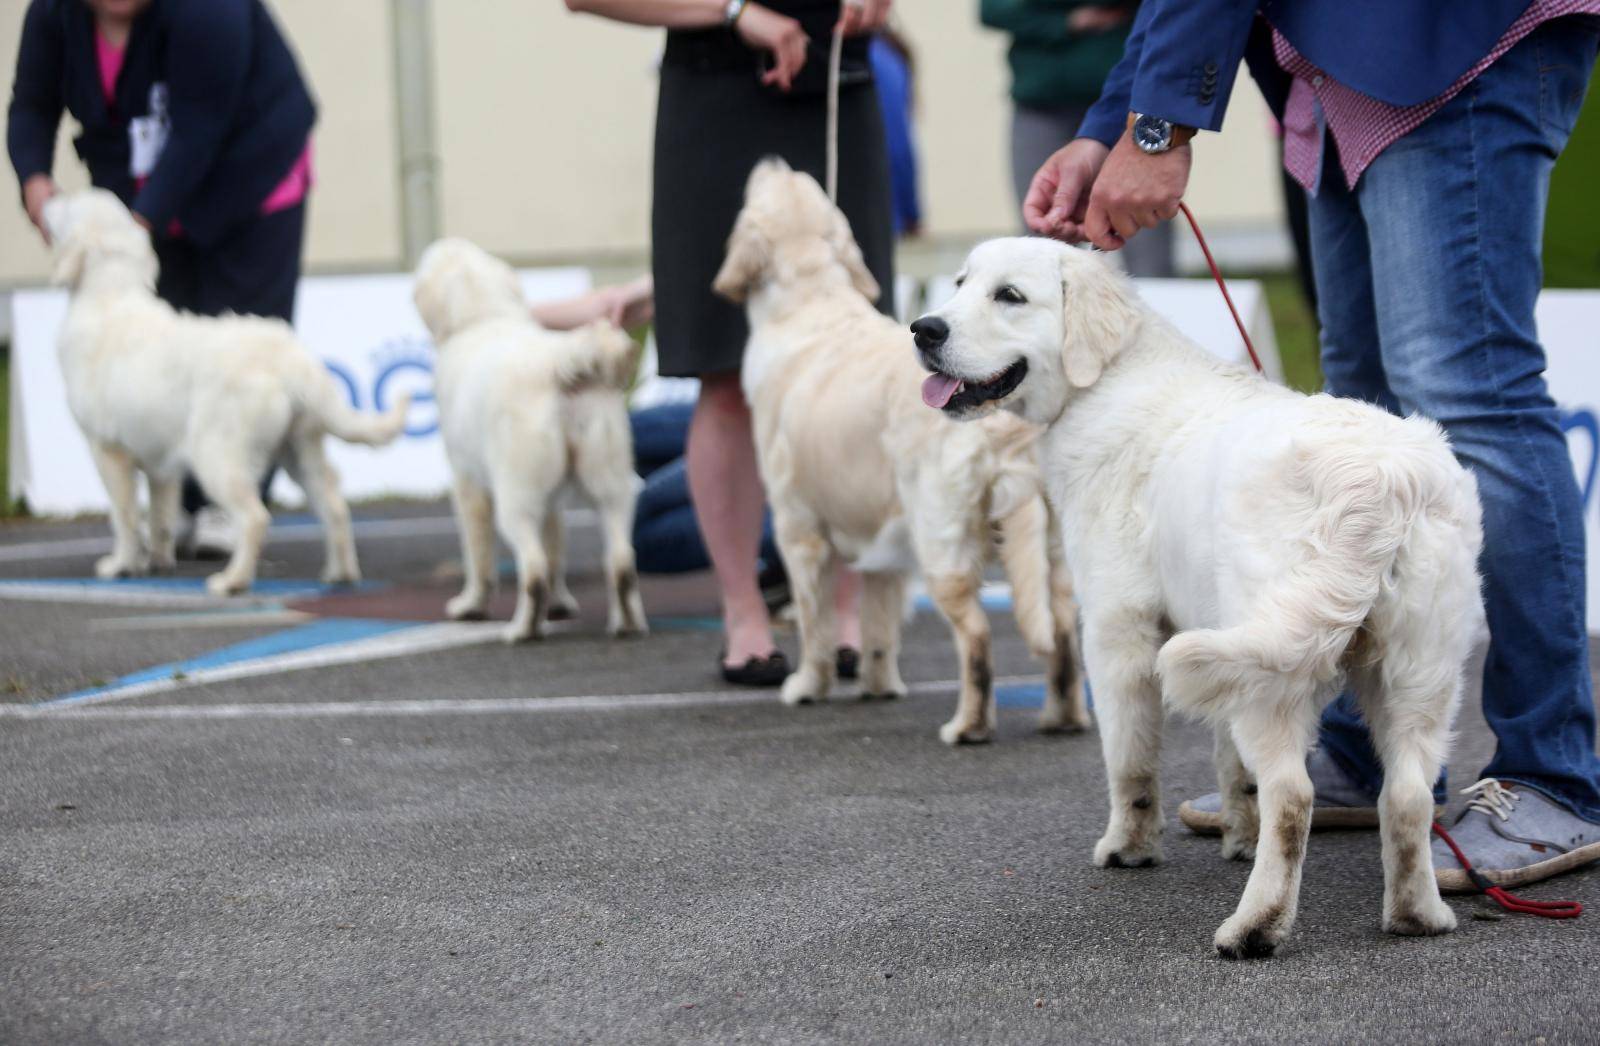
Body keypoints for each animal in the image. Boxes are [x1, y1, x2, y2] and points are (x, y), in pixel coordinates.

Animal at [43, 190, 409, 598]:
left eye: (71, 202)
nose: (49, 197)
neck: (109, 296)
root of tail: (290, 359)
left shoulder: (107, 450)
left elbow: (123, 517)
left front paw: (121, 564)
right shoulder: (158, 461)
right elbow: (159, 518)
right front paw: (157, 562)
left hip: (216, 454)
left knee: (255, 516)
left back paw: (232, 580)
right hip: (298, 450)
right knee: (334, 506)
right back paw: (339, 573)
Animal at [412, 238, 649, 642]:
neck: (484, 316)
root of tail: (559, 361)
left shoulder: (468, 484)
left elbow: (478, 555)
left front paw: (471, 606)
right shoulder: (551, 498)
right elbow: (555, 546)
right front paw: (561, 605)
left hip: (516, 498)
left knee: (533, 569)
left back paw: (522, 629)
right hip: (611, 484)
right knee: (621, 561)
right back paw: (627, 624)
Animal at [713, 157, 1088, 745]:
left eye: (768, 186)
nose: (774, 160)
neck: (809, 300)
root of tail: (1007, 424)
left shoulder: (798, 528)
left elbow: (816, 624)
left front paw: (807, 686)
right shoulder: (880, 545)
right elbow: (877, 625)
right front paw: (878, 684)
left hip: (940, 538)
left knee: (977, 635)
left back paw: (968, 726)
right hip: (1050, 549)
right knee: (1063, 631)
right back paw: (1062, 717)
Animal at [915, 238, 1484, 959]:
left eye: (1009, 296)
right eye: (961, 282)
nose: (924, 329)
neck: (1104, 382)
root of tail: (1378, 481)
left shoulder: (1117, 629)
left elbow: (1129, 760)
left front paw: (1127, 848)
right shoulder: (1215, 639)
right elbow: (1229, 763)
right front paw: (1238, 835)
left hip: (1278, 668)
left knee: (1293, 797)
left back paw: (1255, 928)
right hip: (1415, 670)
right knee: (1407, 796)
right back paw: (1417, 915)